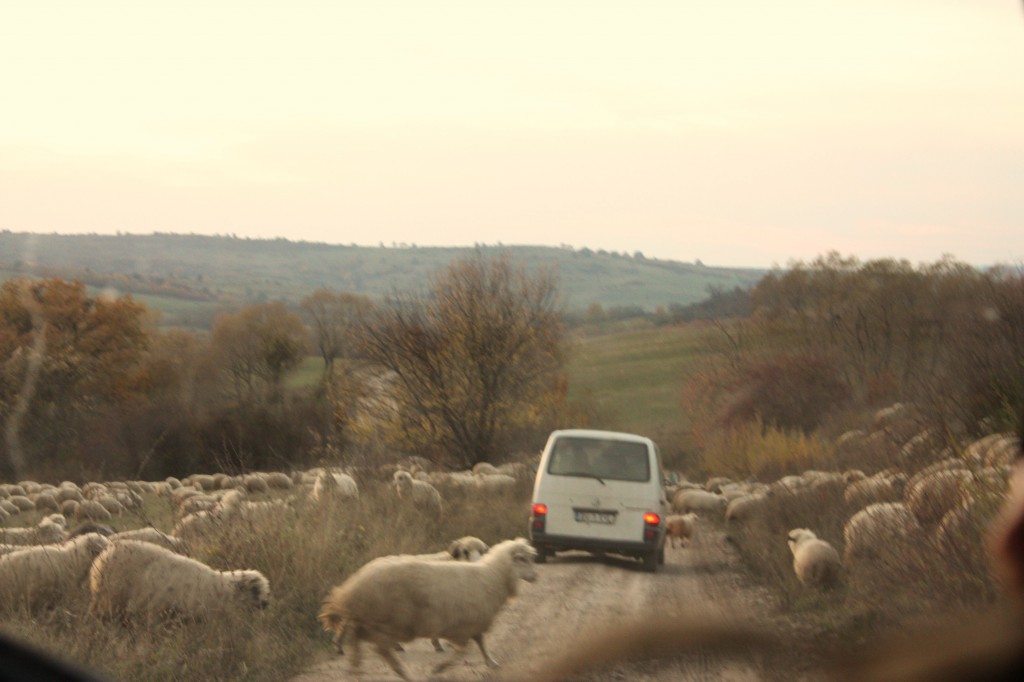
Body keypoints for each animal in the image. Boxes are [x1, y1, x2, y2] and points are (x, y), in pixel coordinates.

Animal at [318, 537, 537, 679]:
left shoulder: (470, 622)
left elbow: (479, 643)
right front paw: (440, 667)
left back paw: (356, 666)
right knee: (371, 642)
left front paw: (491, 662)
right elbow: (466, 648)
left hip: (378, 620)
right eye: (524, 559)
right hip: (390, 621)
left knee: (359, 635)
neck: (493, 575)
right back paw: (396, 670)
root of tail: (358, 581)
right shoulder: (465, 623)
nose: (535, 577)